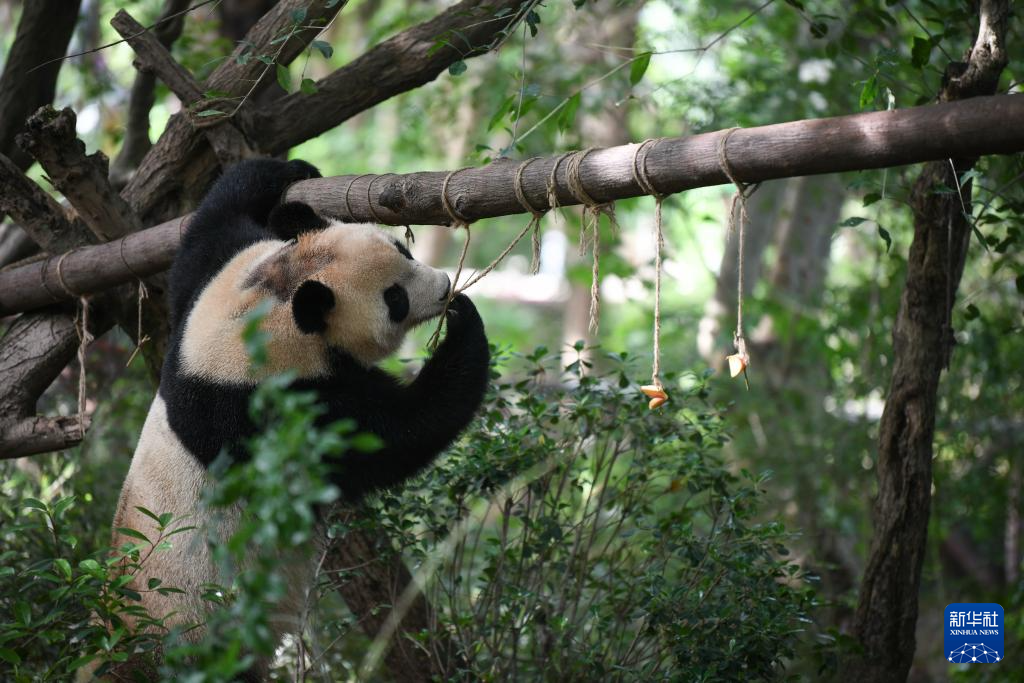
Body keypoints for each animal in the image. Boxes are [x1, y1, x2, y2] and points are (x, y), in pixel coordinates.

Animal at [105, 160, 489, 679]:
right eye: (395, 300)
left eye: (403, 249)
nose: (445, 287)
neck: (270, 312)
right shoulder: (273, 412)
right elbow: (398, 435)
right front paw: (465, 324)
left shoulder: (207, 293)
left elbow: (211, 226)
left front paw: (290, 170)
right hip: (199, 635)